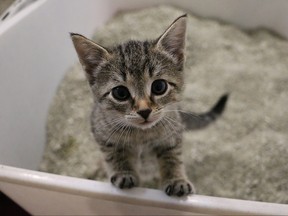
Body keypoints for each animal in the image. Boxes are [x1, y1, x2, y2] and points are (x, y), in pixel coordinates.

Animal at [70, 14, 227, 197]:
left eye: (159, 87)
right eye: (120, 93)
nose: (144, 111)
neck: (141, 135)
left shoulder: (173, 135)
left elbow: (172, 158)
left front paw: (176, 180)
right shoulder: (101, 133)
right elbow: (115, 155)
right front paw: (124, 172)